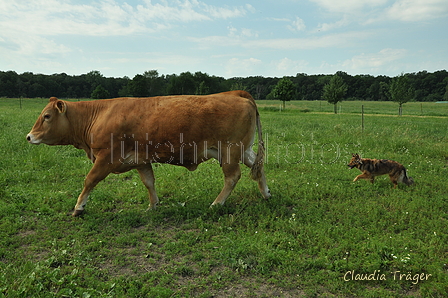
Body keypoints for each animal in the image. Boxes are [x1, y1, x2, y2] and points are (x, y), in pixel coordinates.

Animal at [28, 91, 272, 217]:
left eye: (47, 116)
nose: (29, 137)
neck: (99, 114)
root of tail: (236, 93)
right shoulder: (140, 160)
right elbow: (149, 182)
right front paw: (153, 205)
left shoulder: (106, 158)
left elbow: (89, 180)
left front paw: (79, 207)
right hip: (243, 150)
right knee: (257, 166)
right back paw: (266, 194)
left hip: (229, 151)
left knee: (232, 177)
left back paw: (217, 204)